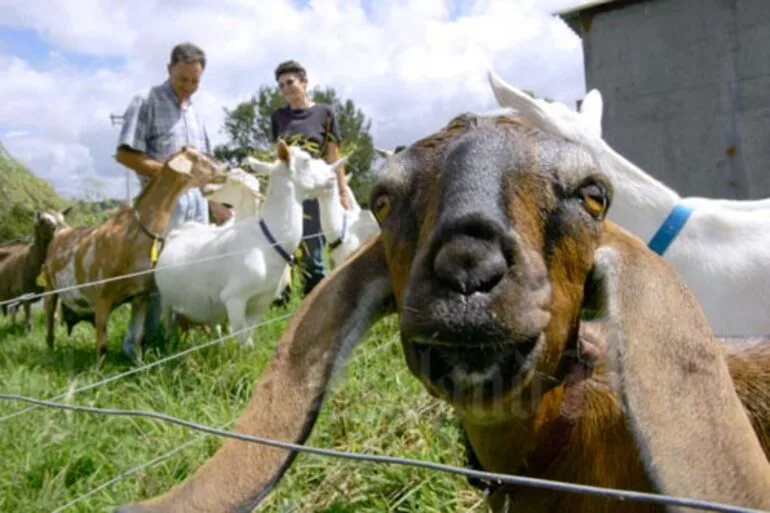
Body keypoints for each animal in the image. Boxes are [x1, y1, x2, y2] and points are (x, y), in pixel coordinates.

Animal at [42, 147, 230, 357]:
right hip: (49, 286)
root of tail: (61, 232)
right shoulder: (102, 297)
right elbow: (102, 346)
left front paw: (139, 362)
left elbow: (139, 337)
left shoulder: (141, 295)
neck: (133, 236)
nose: (227, 169)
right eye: (197, 158)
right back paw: (50, 350)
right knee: (50, 318)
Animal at [153, 141, 345, 347]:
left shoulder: (261, 301)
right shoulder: (234, 297)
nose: (331, 175)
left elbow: (249, 339)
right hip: (165, 299)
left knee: (214, 324)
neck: (266, 241)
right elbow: (242, 340)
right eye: (307, 160)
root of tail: (177, 232)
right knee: (168, 320)